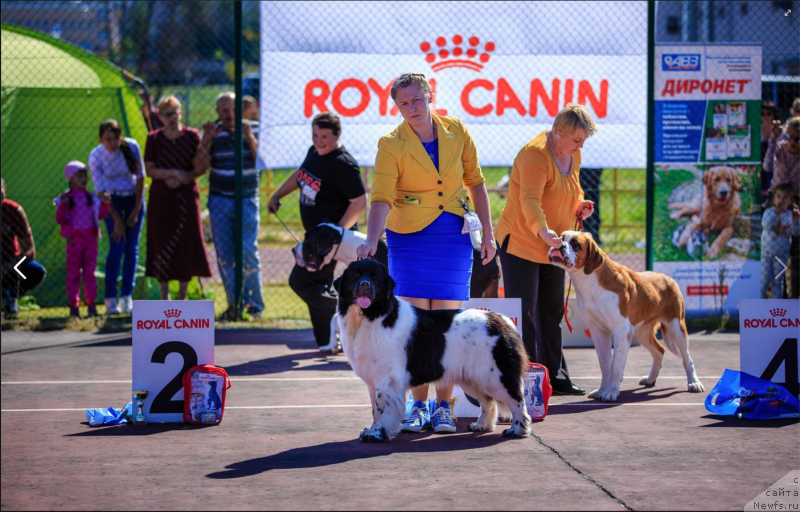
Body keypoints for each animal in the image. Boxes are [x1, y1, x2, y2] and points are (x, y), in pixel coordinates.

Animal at [336, 262, 532, 442]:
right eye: (355, 276)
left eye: (375, 278)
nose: (365, 284)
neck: (370, 316)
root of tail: (502, 320)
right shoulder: (372, 380)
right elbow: (373, 408)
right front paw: (371, 431)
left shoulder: (386, 380)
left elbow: (380, 409)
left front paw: (376, 434)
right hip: (474, 378)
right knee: (488, 402)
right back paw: (481, 425)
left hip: (496, 377)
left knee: (517, 400)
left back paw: (517, 430)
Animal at [548, 233, 704, 404]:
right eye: (560, 237)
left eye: (575, 244)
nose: (558, 245)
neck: (589, 281)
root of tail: (668, 278)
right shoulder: (598, 331)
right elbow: (605, 365)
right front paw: (602, 390)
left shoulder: (621, 330)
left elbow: (615, 366)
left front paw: (610, 393)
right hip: (642, 332)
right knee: (659, 351)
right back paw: (650, 379)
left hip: (676, 327)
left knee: (687, 357)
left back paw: (694, 383)